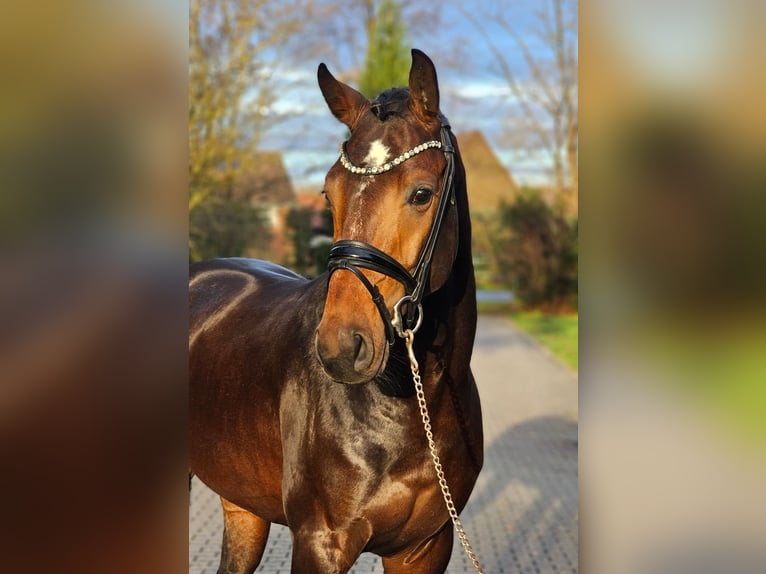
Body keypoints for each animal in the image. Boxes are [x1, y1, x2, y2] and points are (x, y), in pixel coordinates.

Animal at [189, 50, 484, 574]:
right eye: (329, 192)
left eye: (422, 193)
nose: (342, 346)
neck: (414, 402)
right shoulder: (320, 543)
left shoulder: (427, 546)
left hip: (242, 506)